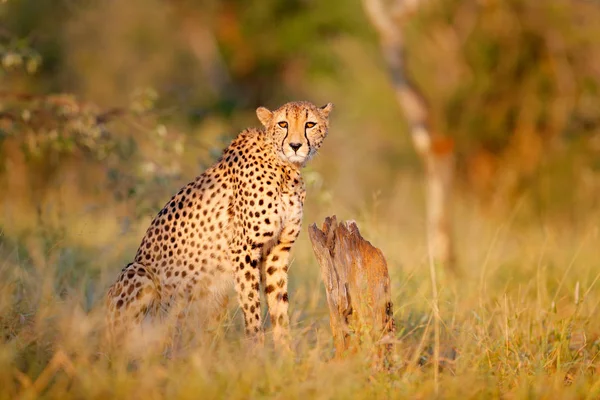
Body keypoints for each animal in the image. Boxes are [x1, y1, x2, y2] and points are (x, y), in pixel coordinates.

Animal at [108, 99, 332, 346]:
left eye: (310, 124)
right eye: (283, 124)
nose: (295, 145)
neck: (285, 169)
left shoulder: (277, 250)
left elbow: (279, 306)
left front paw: (285, 351)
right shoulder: (243, 249)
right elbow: (251, 305)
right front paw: (256, 349)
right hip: (139, 272)